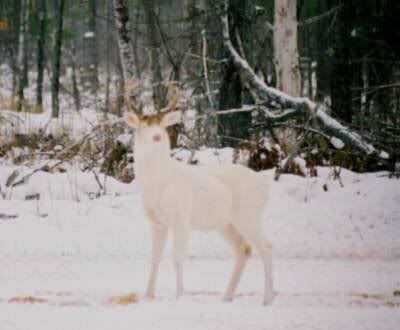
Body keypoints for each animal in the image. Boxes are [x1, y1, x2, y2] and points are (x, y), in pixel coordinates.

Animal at [123, 90, 274, 304]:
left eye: (162, 125)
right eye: (144, 125)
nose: (157, 136)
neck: (159, 182)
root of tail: (264, 186)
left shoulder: (181, 219)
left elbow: (178, 258)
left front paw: (180, 295)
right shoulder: (157, 223)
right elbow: (155, 258)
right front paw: (148, 295)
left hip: (248, 215)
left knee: (267, 248)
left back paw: (267, 299)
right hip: (226, 224)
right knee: (244, 249)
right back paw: (227, 297)